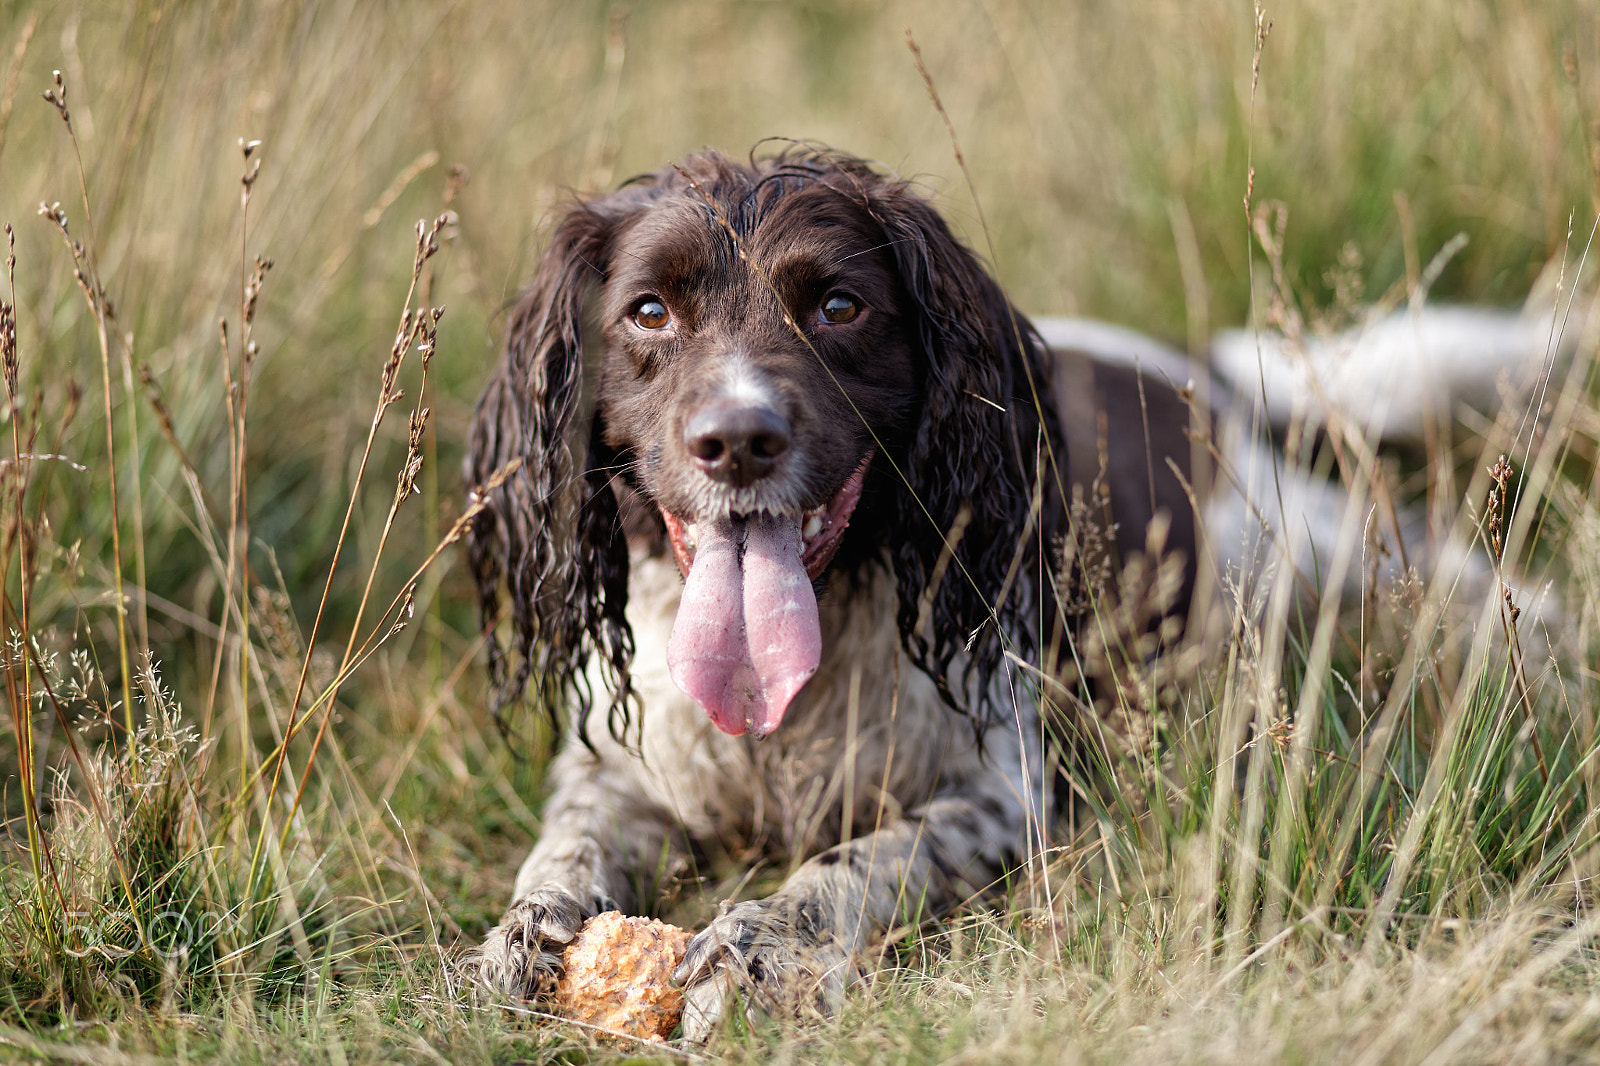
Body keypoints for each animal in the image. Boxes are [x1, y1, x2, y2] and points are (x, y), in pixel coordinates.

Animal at [460, 145, 1561, 1030]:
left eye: (837, 306)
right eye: (650, 311)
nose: (738, 440)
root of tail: (1191, 370)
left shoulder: (1005, 788)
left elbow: (856, 864)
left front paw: (758, 947)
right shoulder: (618, 766)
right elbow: (564, 845)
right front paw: (527, 931)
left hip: (1306, 550)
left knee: (1455, 575)